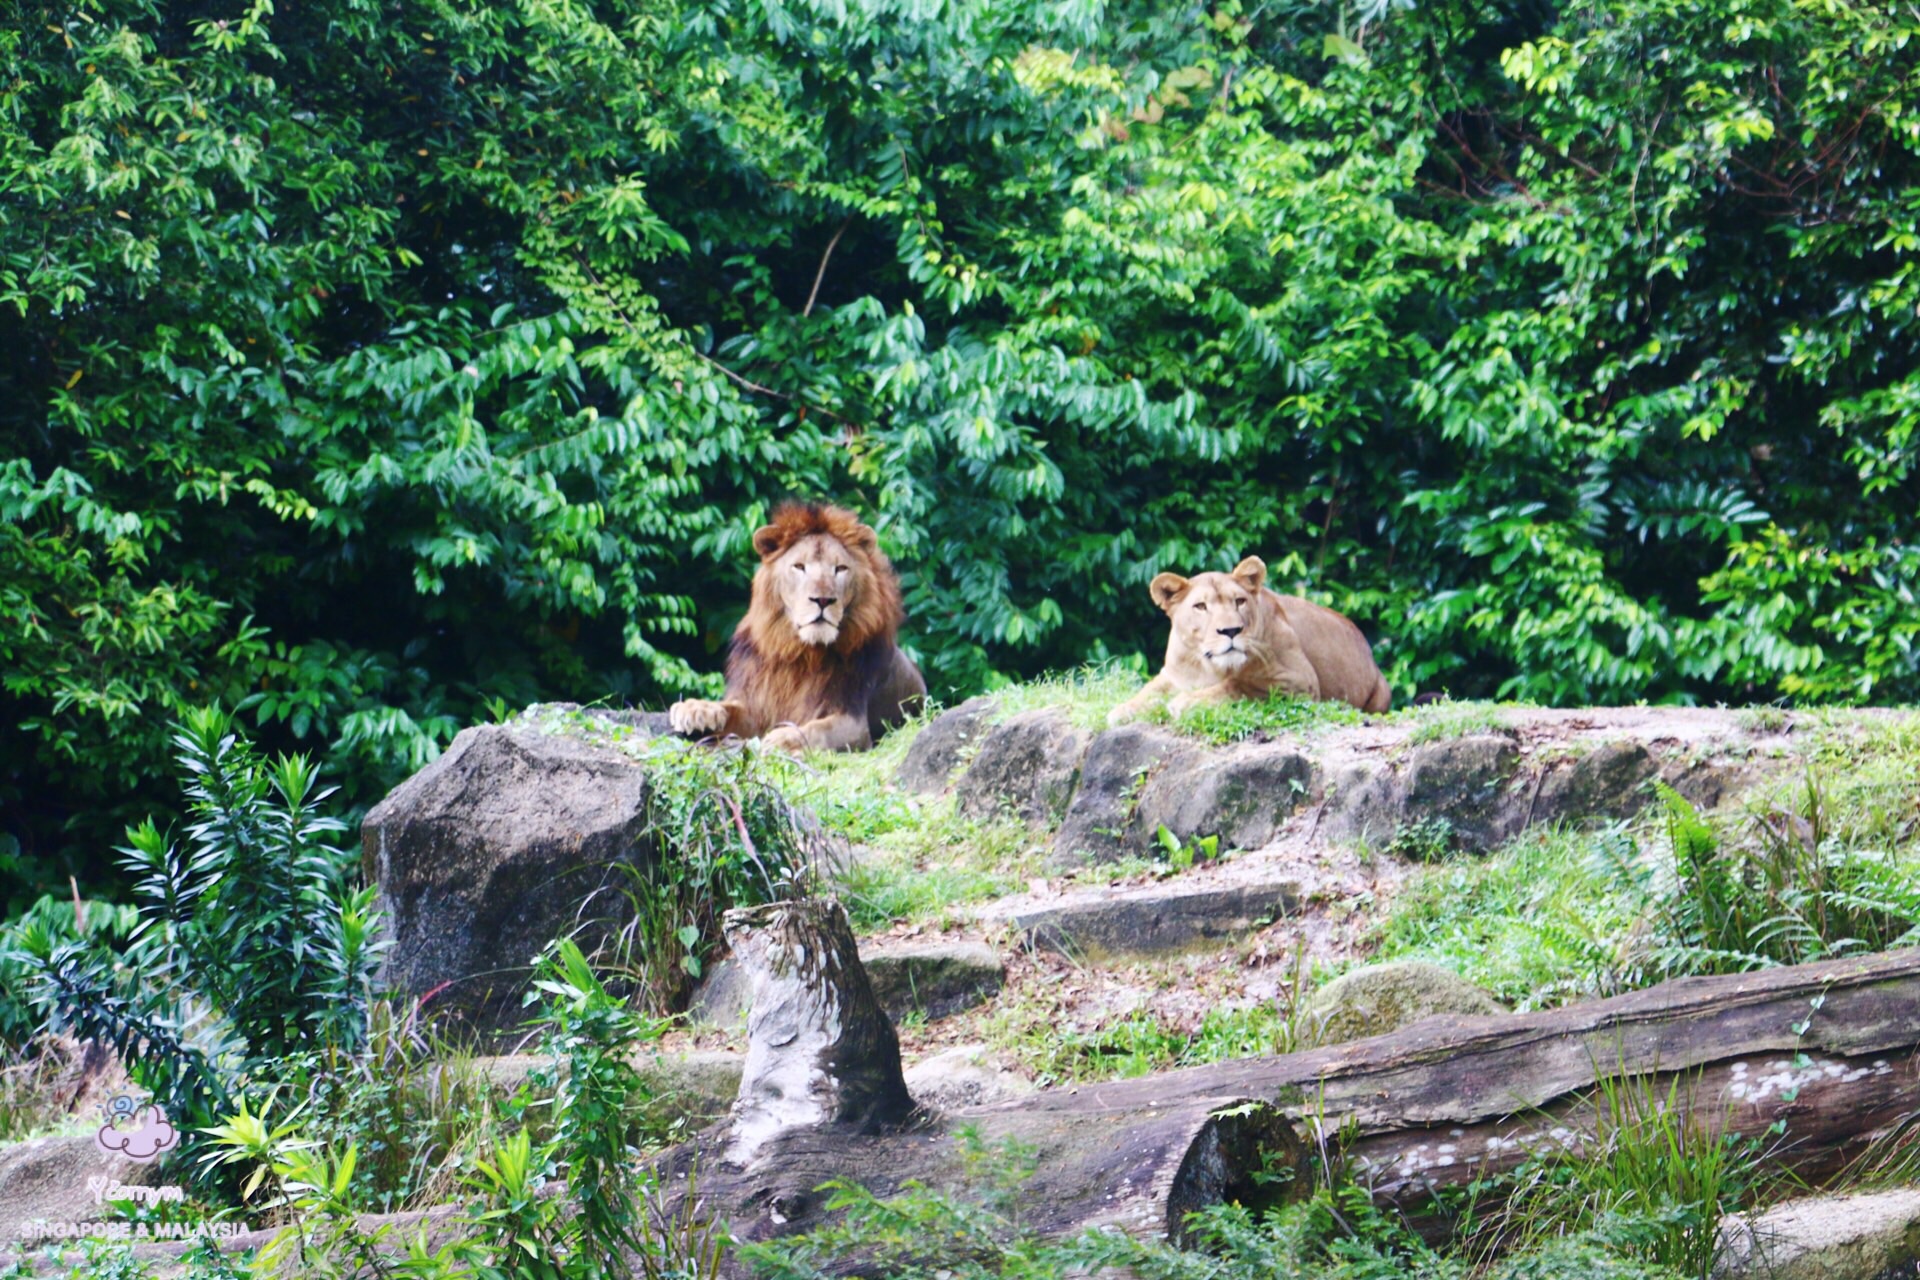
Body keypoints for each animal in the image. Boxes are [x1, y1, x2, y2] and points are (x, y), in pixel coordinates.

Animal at [664, 498, 925, 756]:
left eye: (840, 568)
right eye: (799, 567)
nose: (823, 600)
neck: (800, 653)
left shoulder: (855, 723)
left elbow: (817, 729)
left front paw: (783, 738)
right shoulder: (758, 705)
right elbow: (731, 709)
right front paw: (696, 709)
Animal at [1105, 556, 1390, 725]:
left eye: (1239, 601)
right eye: (1200, 606)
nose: (1231, 630)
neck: (1210, 667)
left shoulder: (1300, 680)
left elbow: (1239, 685)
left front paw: (1185, 702)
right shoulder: (1173, 675)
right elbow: (1146, 691)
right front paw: (1121, 710)